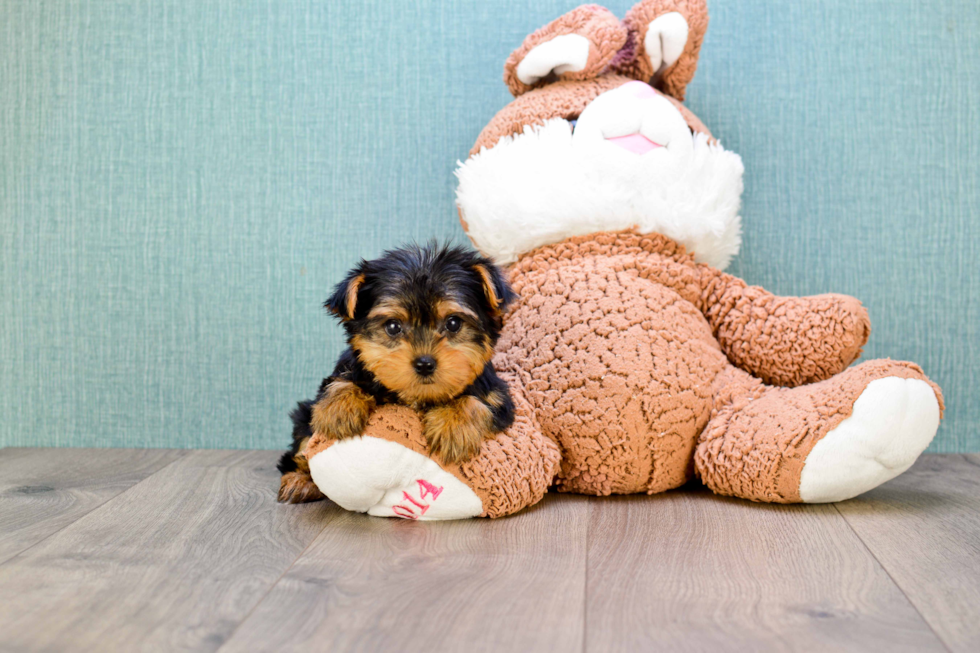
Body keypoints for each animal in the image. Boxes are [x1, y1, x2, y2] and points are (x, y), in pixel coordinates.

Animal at [276, 242, 516, 502]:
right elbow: (342, 380)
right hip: (303, 415)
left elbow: (477, 402)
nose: (424, 363)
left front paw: (454, 427)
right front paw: (339, 408)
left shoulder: (498, 396)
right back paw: (300, 480)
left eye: (453, 323)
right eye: (393, 326)